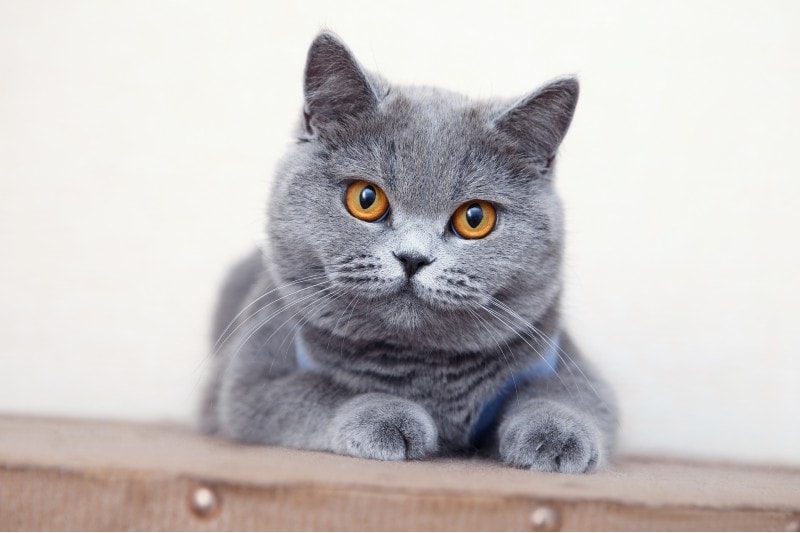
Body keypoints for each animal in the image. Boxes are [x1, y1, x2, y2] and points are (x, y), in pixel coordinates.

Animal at [202, 31, 620, 472]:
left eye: (475, 217)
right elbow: (320, 389)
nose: (413, 258)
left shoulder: (570, 365)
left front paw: (559, 435)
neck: (424, 374)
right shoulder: (247, 380)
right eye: (366, 198)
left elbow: (568, 396)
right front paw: (387, 417)